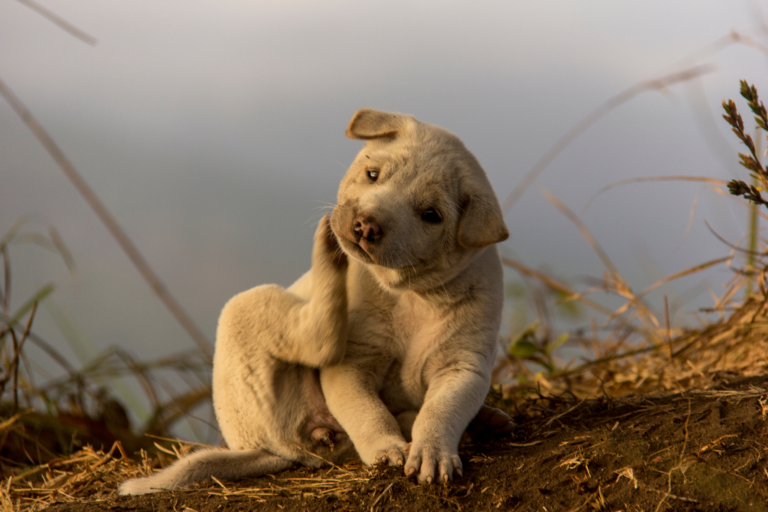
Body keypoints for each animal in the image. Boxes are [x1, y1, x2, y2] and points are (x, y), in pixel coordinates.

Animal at [120, 109, 512, 496]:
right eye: (373, 174)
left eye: (431, 214)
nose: (364, 226)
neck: (411, 294)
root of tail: (270, 452)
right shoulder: (351, 365)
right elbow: (368, 412)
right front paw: (387, 449)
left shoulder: (463, 367)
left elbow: (441, 411)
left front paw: (432, 452)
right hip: (249, 308)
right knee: (316, 339)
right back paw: (327, 254)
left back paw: (484, 421)